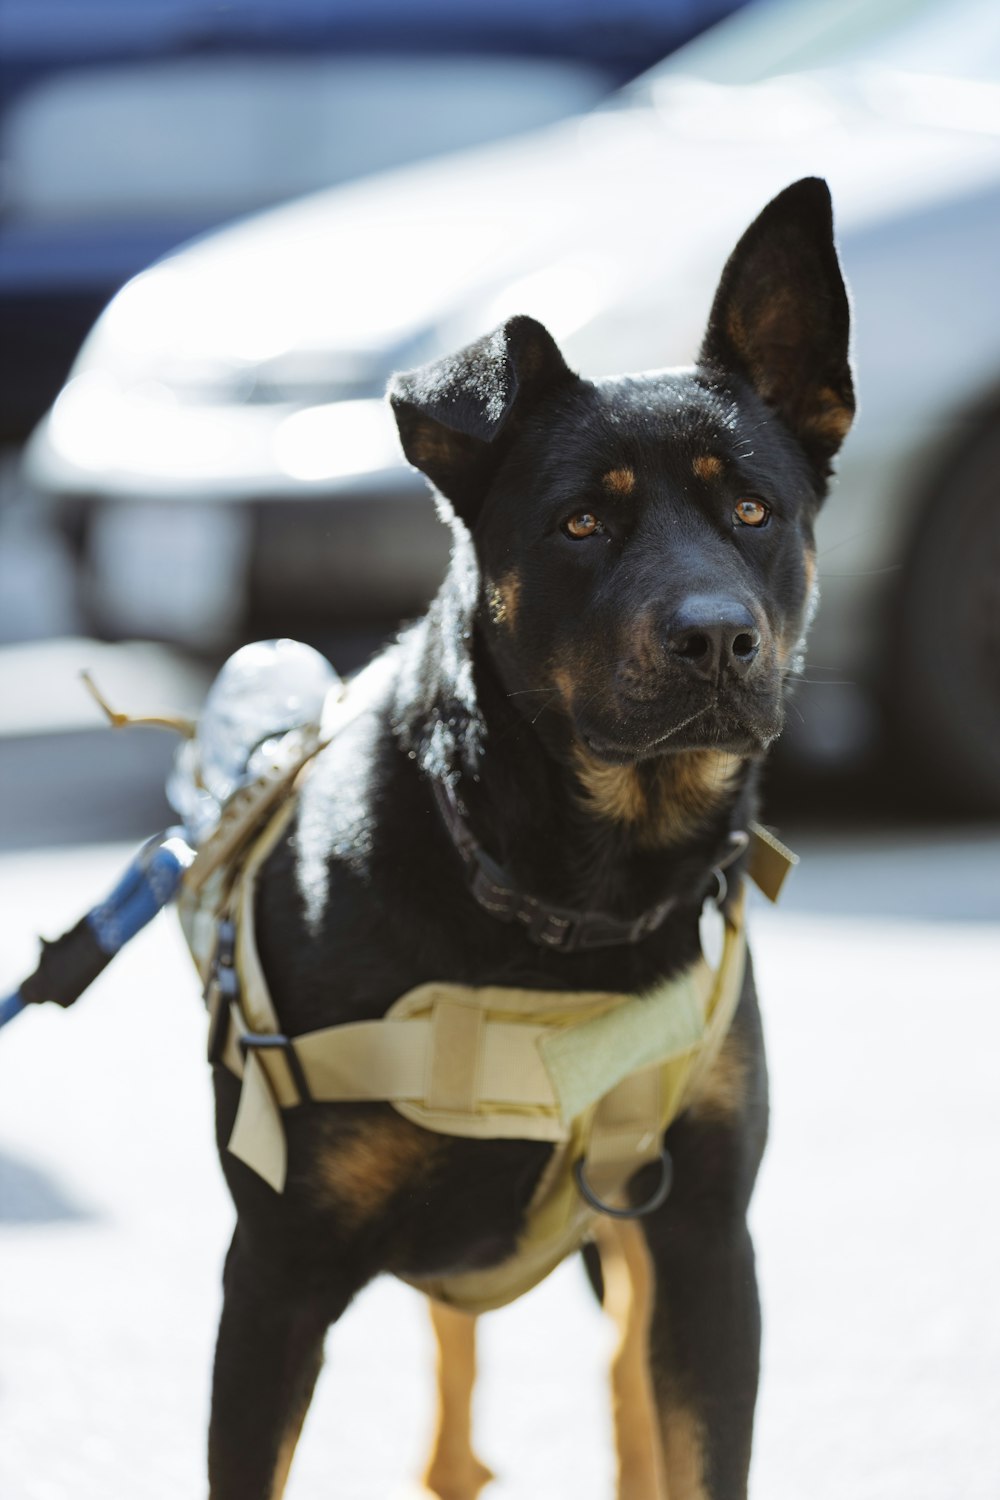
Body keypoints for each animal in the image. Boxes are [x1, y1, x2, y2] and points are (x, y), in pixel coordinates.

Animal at [209, 178, 851, 1500]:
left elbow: (693, 1446)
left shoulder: (704, 1244)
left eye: (752, 510)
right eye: (580, 523)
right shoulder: (276, 1276)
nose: (717, 639)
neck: (575, 900)